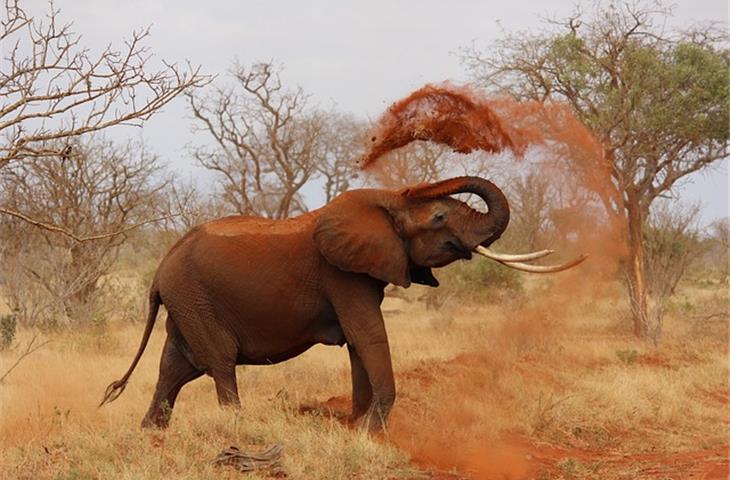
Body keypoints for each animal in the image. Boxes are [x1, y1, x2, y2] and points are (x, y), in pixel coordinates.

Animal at [102, 174, 580, 430]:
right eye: (441, 217)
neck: (385, 200)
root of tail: (160, 268)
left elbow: (358, 343)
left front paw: (357, 426)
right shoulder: (342, 274)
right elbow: (368, 335)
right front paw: (371, 429)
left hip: (186, 301)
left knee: (176, 366)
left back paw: (152, 434)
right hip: (194, 298)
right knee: (217, 362)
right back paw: (235, 425)